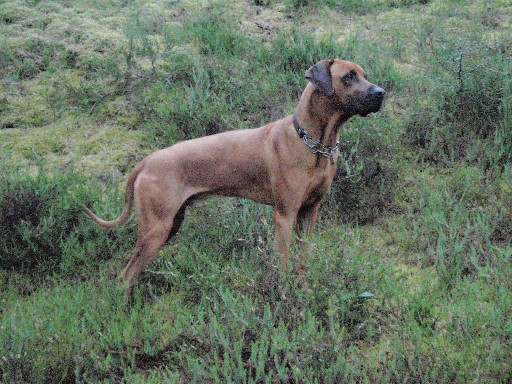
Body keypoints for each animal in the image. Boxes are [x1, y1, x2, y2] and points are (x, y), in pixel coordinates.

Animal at [86, 58, 384, 290]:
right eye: (349, 76)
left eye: (365, 75)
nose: (381, 92)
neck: (313, 143)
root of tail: (147, 160)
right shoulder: (285, 216)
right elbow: (283, 261)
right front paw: (284, 293)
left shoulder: (309, 214)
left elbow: (304, 259)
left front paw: (305, 288)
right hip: (156, 229)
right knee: (125, 277)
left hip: (170, 225)